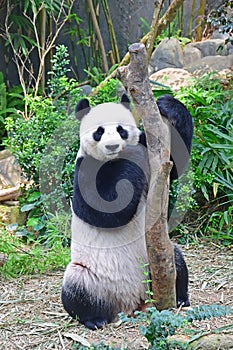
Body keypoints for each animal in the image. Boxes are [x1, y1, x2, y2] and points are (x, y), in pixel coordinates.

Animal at [61, 93, 192, 328]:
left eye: (121, 129)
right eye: (99, 131)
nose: (113, 146)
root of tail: (131, 303)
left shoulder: (152, 155)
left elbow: (176, 163)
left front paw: (168, 104)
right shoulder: (84, 167)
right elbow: (100, 210)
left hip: (155, 258)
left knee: (176, 260)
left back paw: (180, 298)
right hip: (89, 275)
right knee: (76, 288)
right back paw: (94, 319)